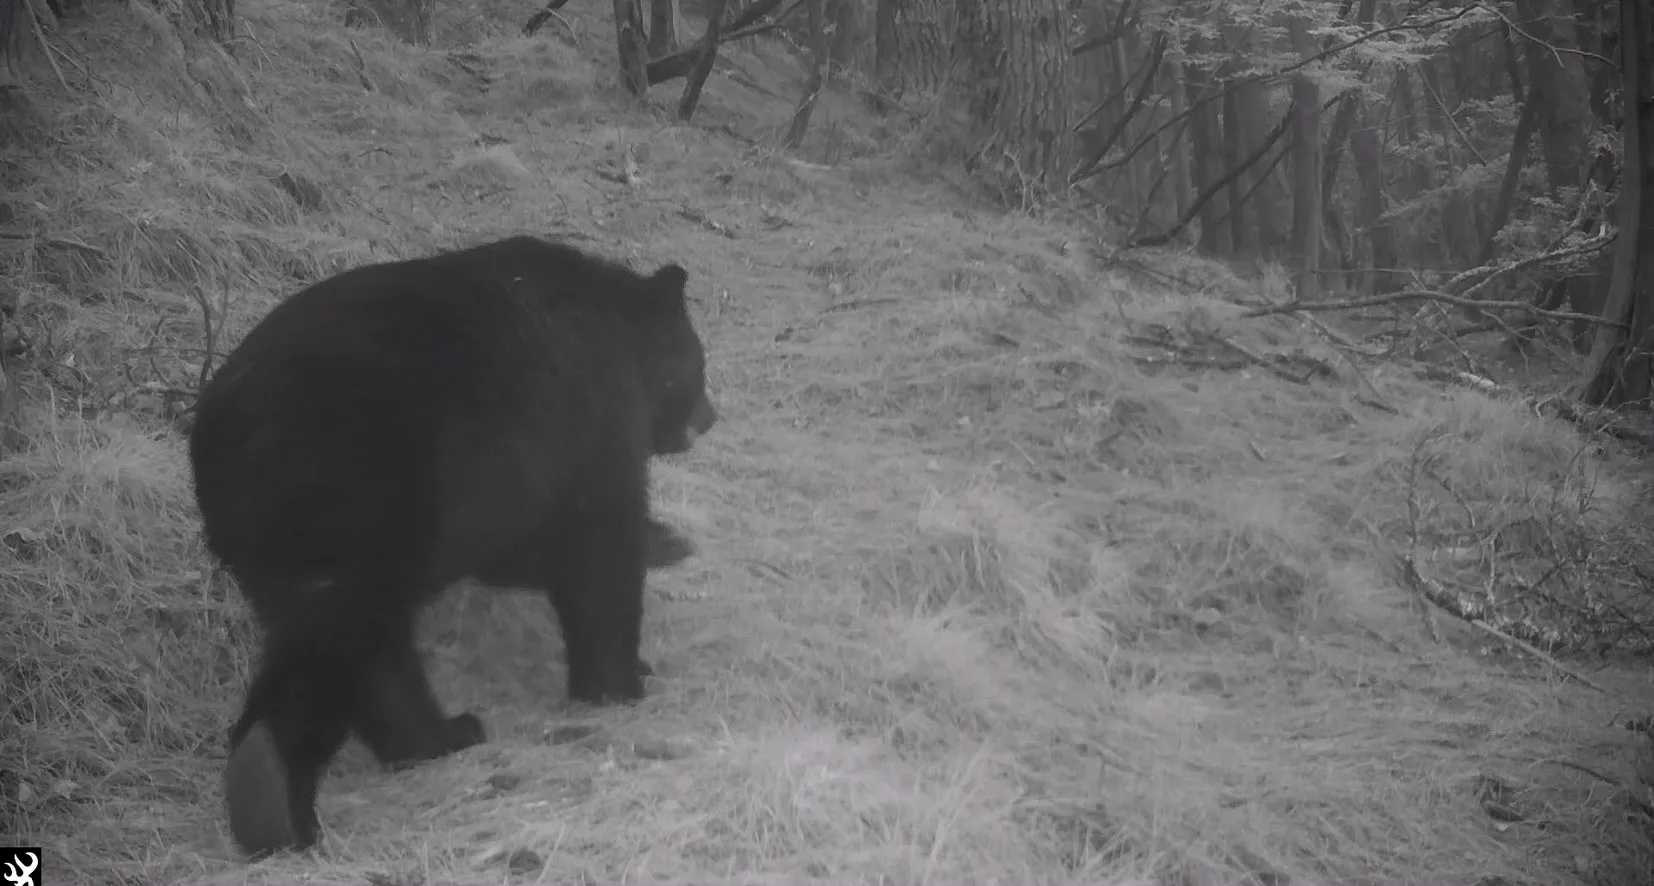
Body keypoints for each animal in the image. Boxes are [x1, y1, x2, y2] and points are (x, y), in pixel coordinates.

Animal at [187, 234, 718, 859]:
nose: (712, 415)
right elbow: (598, 544)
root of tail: (222, 428)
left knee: (364, 642)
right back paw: (285, 786)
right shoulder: (586, 415)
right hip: (357, 490)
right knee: (347, 636)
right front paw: (621, 679)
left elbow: (523, 549)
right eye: (700, 365)